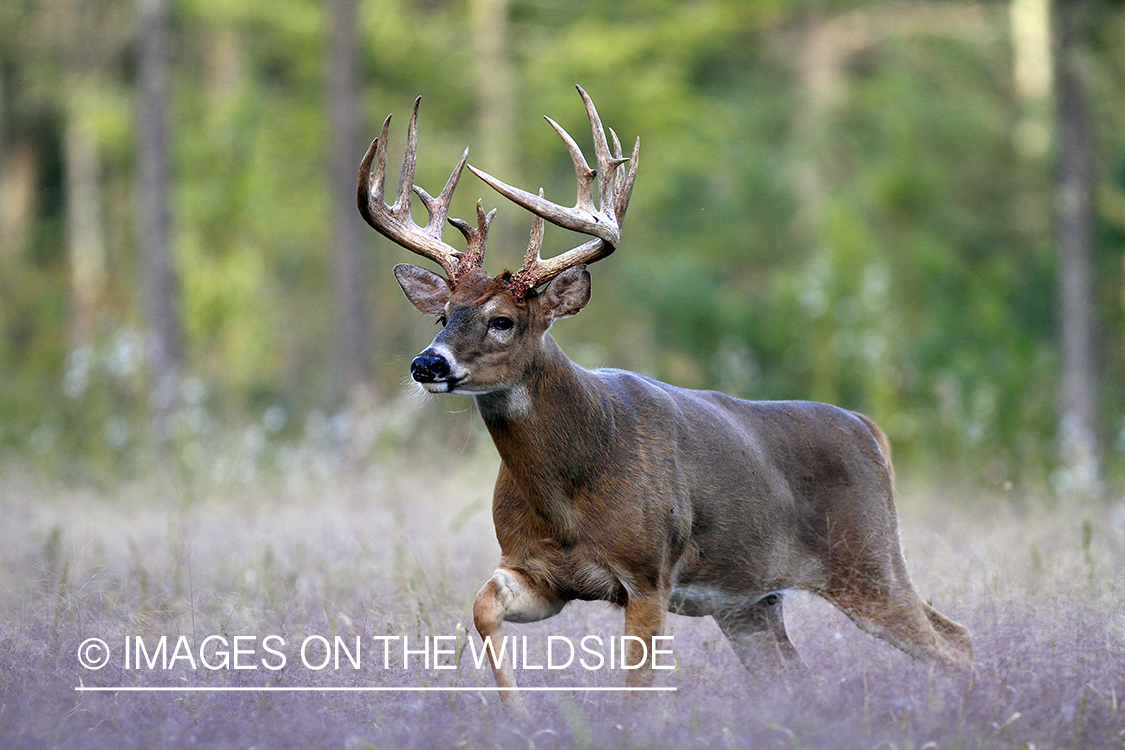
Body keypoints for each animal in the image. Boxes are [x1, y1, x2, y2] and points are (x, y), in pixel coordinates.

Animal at [355, 84, 972, 706]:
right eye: (442, 315)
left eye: (502, 320)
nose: (427, 363)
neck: (568, 494)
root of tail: (871, 431)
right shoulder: (538, 570)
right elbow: (483, 608)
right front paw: (517, 714)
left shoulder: (650, 571)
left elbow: (637, 689)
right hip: (754, 601)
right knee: (803, 671)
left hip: (868, 556)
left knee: (952, 641)